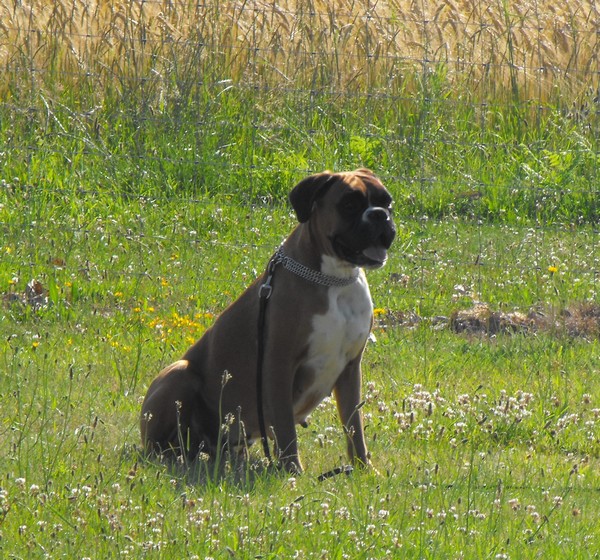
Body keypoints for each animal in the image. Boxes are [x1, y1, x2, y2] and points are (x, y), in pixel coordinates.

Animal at [138, 167, 396, 472]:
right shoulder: (279, 364)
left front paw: (363, 469)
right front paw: (292, 470)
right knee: (158, 444)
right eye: (349, 204)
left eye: (387, 201)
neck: (335, 279)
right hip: (179, 373)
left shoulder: (350, 368)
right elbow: (285, 426)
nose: (379, 215)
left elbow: (354, 425)